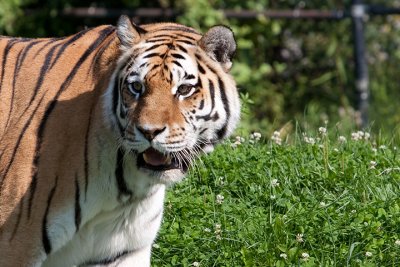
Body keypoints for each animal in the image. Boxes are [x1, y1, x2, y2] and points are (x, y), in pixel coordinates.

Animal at [0, 15, 239, 267]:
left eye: (184, 89)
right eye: (136, 87)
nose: (149, 132)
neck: (124, 188)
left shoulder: (123, 251)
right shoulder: (15, 248)